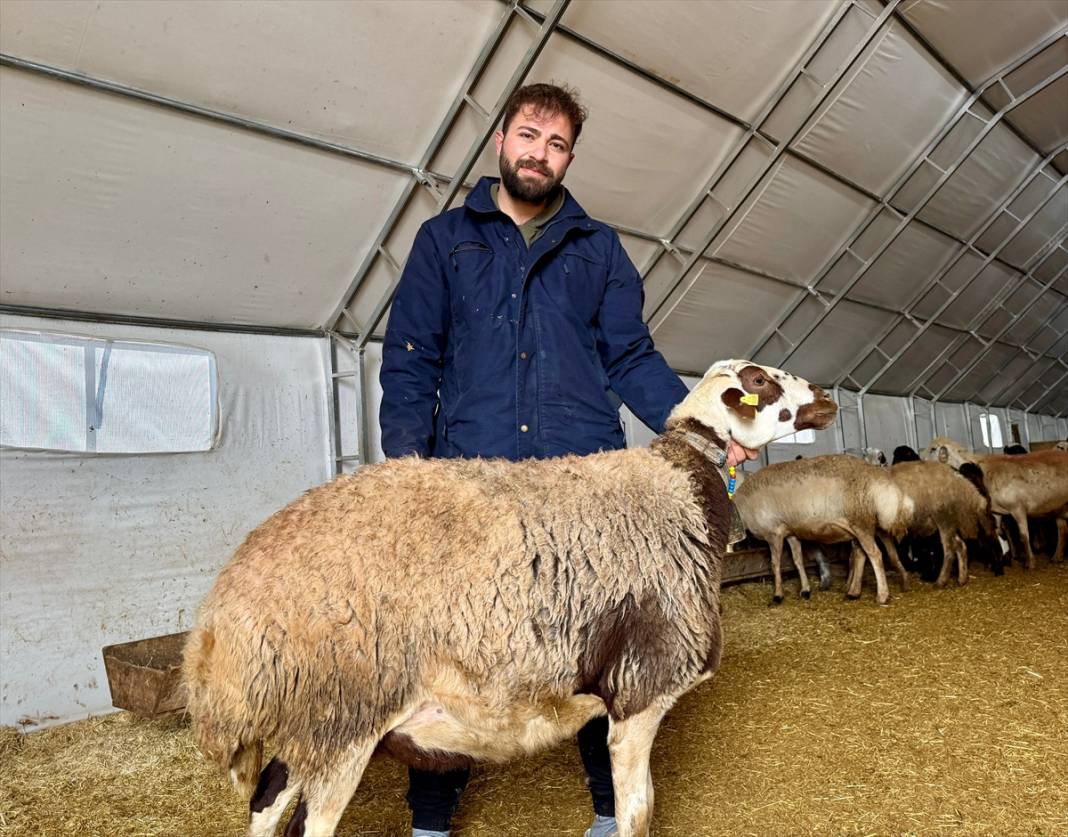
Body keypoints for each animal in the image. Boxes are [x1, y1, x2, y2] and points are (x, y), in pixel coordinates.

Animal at [181, 358, 833, 837]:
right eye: (759, 380)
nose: (826, 398)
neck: (683, 487)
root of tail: (218, 627)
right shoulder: (640, 692)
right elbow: (636, 814)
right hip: (344, 715)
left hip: (308, 719)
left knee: (265, 800)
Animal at [922, 437, 1063, 567]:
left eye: (933, 449)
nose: (920, 461)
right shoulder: (996, 512)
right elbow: (998, 532)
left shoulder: (1017, 507)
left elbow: (1023, 535)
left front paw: (1030, 562)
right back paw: (1057, 556)